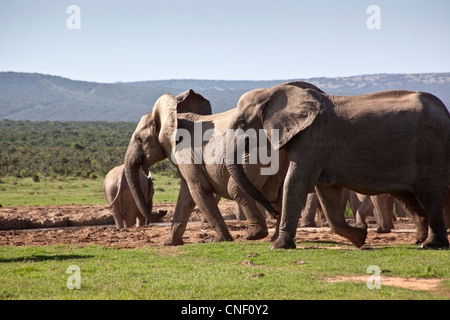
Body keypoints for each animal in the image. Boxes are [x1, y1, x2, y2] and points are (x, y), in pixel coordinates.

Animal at [123, 89, 284, 245]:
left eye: (139, 139)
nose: (162, 210)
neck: (176, 116)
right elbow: (186, 195)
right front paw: (168, 243)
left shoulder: (187, 153)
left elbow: (198, 190)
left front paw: (218, 240)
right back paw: (274, 238)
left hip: (254, 155)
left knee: (236, 189)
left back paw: (256, 234)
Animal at [227, 81, 450, 249]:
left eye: (242, 123)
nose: (274, 212)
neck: (273, 91)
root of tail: (445, 111)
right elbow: (328, 194)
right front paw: (360, 238)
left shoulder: (313, 137)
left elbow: (296, 182)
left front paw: (277, 247)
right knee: (406, 195)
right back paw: (418, 241)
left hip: (432, 146)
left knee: (430, 195)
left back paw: (431, 245)